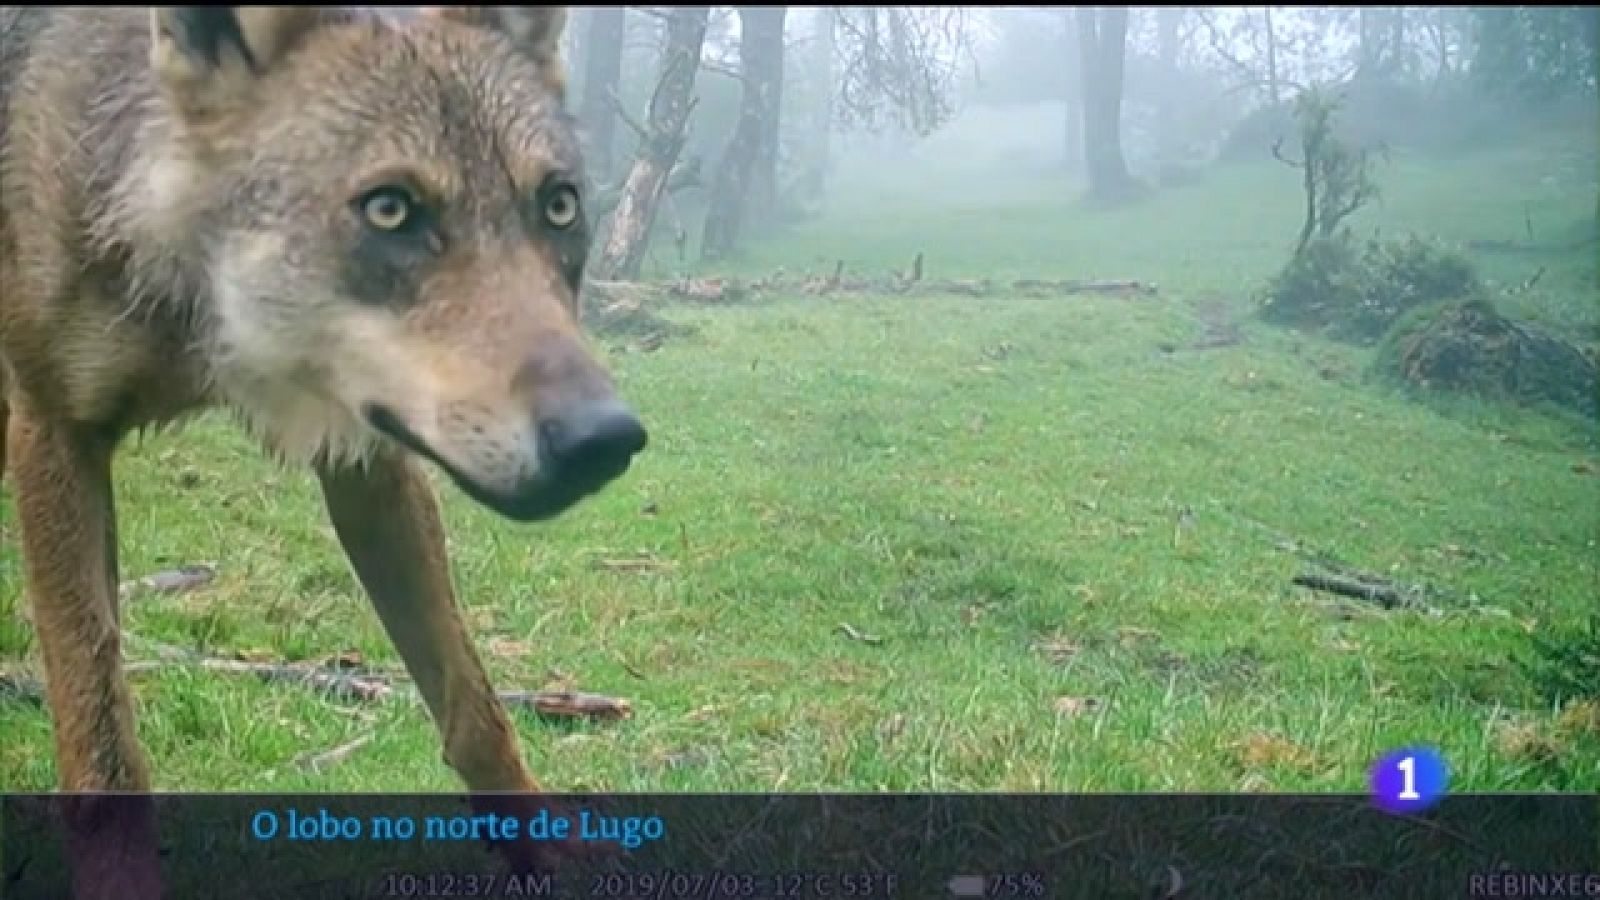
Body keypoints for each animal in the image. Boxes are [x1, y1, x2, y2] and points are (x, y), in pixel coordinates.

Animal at [0, 6, 645, 897]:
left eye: (557, 206)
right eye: (390, 210)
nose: (603, 438)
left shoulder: (367, 457)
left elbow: (472, 704)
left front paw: (548, 855)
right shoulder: (53, 432)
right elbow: (102, 746)